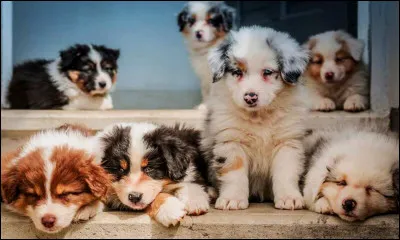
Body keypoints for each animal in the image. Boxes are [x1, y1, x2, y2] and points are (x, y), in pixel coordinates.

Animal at [203, 25, 310, 210]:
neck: (259, 117)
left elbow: (286, 172)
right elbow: (234, 173)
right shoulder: (231, 141)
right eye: (237, 72)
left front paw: (289, 198)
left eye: (267, 72)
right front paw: (232, 199)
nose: (250, 97)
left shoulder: (287, 142)